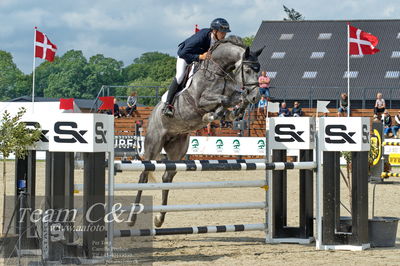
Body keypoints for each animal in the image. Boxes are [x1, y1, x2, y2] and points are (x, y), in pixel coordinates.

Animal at [130, 34, 264, 227]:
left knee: (167, 177)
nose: (256, 96)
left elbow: (235, 100)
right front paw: (211, 116)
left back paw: (159, 219)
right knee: (144, 174)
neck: (218, 71)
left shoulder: (232, 95)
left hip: (177, 149)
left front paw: (233, 113)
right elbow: (222, 100)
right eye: (247, 71)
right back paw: (132, 218)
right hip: (153, 145)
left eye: (258, 70)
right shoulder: (201, 101)